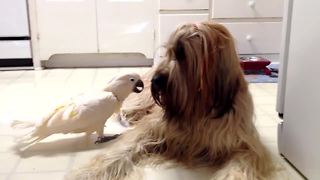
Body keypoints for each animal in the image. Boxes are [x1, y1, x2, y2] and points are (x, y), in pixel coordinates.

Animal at [66, 21, 278, 179]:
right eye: (168, 52)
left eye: (182, 54)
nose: (155, 81)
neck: (199, 107)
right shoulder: (154, 128)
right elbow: (124, 148)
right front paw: (90, 173)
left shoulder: (246, 146)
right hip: (142, 99)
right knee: (128, 108)